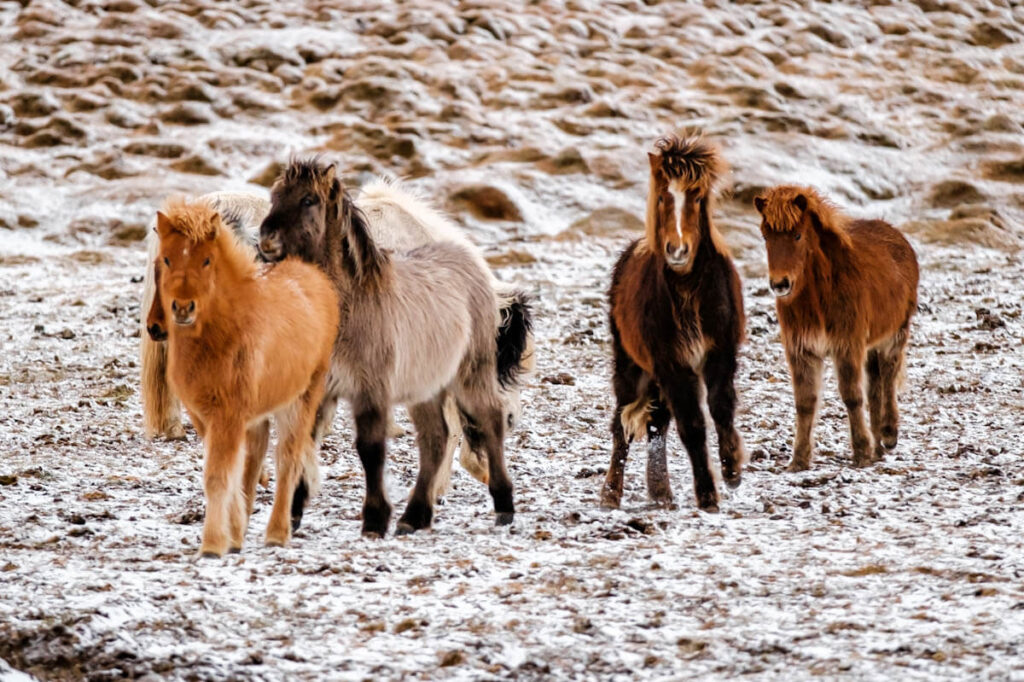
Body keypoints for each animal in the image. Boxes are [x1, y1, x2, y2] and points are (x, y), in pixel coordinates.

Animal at [153, 196, 335, 552]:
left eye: (207, 260)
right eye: (166, 259)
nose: (183, 308)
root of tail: (316, 279)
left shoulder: (230, 414)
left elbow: (218, 475)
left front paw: (212, 546)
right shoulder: (204, 415)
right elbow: (232, 471)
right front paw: (233, 534)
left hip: (302, 397)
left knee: (288, 458)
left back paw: (277, 533)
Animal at [602, 135, 749, 509]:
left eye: (697, 197)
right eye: (661, 196)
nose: (677, 251)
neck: (688, 289)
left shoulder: (720, 353)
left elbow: (721, 407)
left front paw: (732, 469)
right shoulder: (673, 363)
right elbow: (692, 425)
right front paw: (708, 494)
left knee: (656, 422)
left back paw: (661, 493)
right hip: (631, 366)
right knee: (622, 424)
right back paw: (611, 493)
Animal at [753, 186, 921, 473]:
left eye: (797, 234)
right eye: (765, 236)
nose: (780, 284)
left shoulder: (847, 345)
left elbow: (852, 396)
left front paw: (861, 452)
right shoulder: (802, 350)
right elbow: (805, 402)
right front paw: (799, 460)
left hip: (894, 334)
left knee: (889, 376)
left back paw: (888, 434)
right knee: (875, 385)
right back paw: (879, 444)